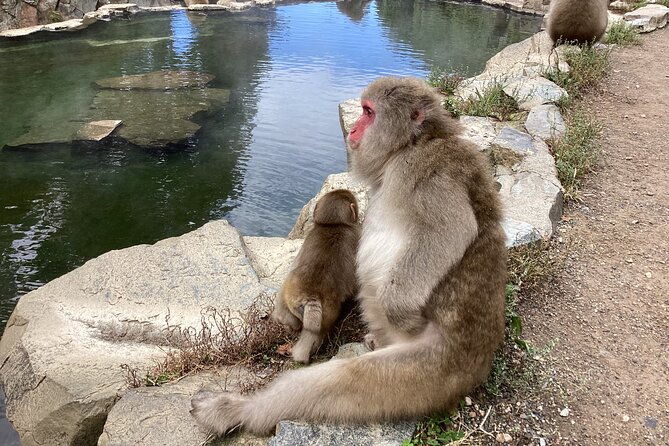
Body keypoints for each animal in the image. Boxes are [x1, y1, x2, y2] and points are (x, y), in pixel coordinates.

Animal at [271, 189, 360, 364]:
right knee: (315, 333)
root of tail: (309, 295)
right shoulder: (356, 237)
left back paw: (286, 324)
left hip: (288, 294)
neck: (334, 225)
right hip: (327, 312)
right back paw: (304, 355)